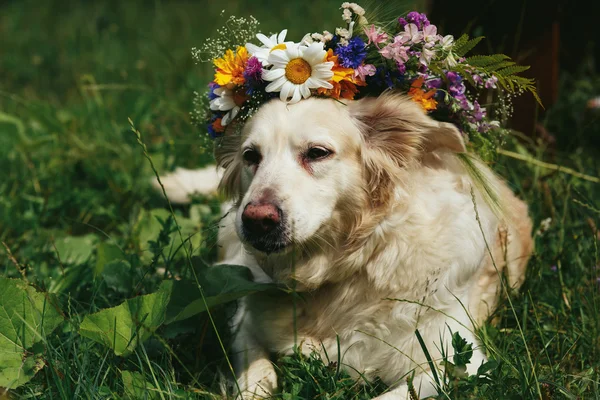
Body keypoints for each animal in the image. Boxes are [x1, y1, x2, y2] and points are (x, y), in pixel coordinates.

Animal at [158, 92, 528, 398]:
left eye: (317, 153)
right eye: (251, 156)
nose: (257, 219)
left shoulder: (456, 362)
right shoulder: (245, 324)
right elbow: (257, 376)